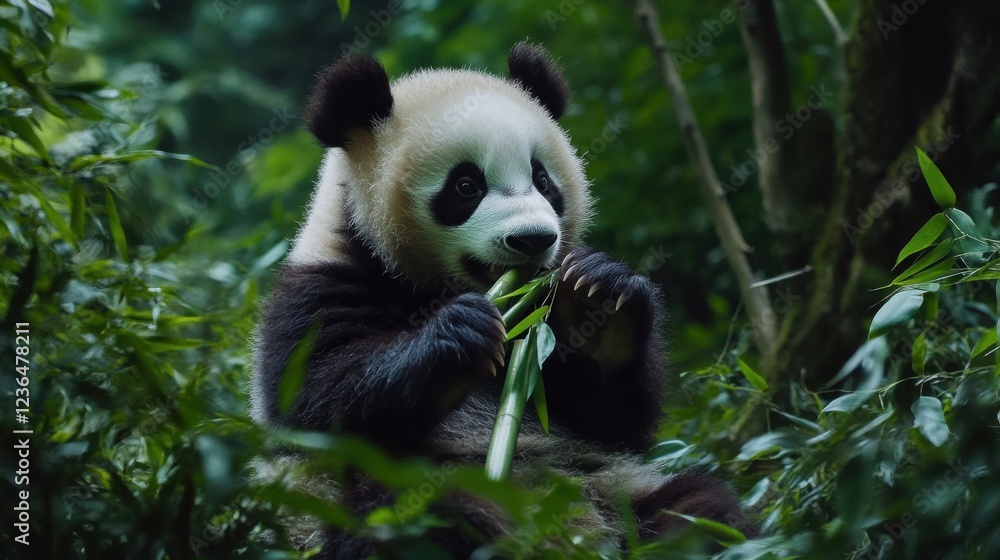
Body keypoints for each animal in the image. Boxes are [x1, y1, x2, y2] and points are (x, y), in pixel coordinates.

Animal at [250, 43, 753, 558]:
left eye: (543, 179)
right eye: (466, 185)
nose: (533, 239)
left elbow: (616, 422)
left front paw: (597, 302)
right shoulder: (319, 290)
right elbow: (320, 405)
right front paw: (457, 335)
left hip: (612, 488)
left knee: (699, 508)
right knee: (418, 515)